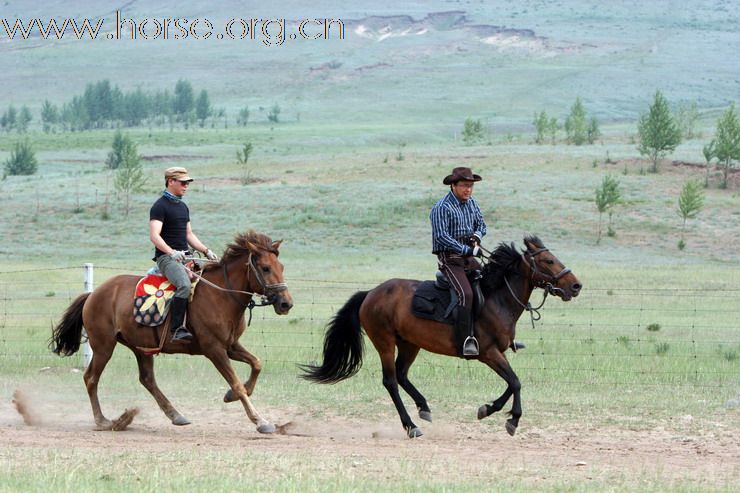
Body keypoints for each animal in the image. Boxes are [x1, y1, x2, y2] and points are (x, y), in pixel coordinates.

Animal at [48, 229, 292, 432]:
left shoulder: (231, 345)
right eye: (265, 268)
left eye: (281, 267)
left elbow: (256, 364)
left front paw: (231, 396)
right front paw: (260, 421)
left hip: (141, 347)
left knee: (147, 380)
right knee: (91, 378)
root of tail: (94, 294)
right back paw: (104, 421)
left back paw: (175, 415)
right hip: (103, 346)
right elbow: (237, 383)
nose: (286, 304)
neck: (221, 295)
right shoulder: (214, 349)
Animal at [300, 236, 580, 436]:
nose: (576, 286)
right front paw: (512, 420)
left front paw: (488, 409)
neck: (496, 299)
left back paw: (424, 408)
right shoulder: (488, 353)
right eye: (548, 261)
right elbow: (516, 382)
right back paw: (411, 426)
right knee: (390, 381)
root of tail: (370, 294)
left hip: (410, 344)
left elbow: (512, 383)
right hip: (385, 342)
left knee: (401, 375)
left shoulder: (497, 353)